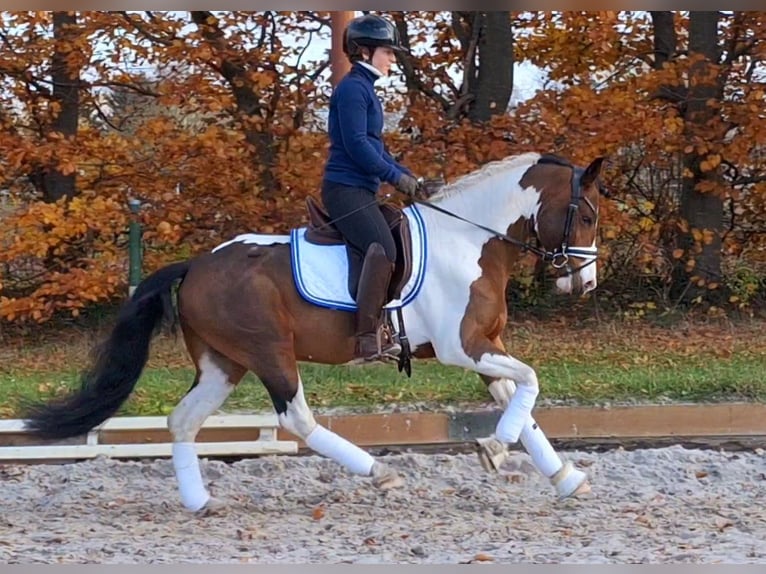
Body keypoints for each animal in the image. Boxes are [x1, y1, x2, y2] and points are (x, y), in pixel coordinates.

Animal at [24, 151, 608, 516]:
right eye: (586, 216)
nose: (584, 284)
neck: (469, 240)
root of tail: (195, 265)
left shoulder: (487, 347)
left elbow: (522, 401)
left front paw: (563, 477)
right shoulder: (462, 348)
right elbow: (530, 383)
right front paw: (494, 448)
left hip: (223, 363)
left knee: (183, 419)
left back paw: (200, 503)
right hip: (268, 352)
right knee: (297, 420)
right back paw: (379, 473)